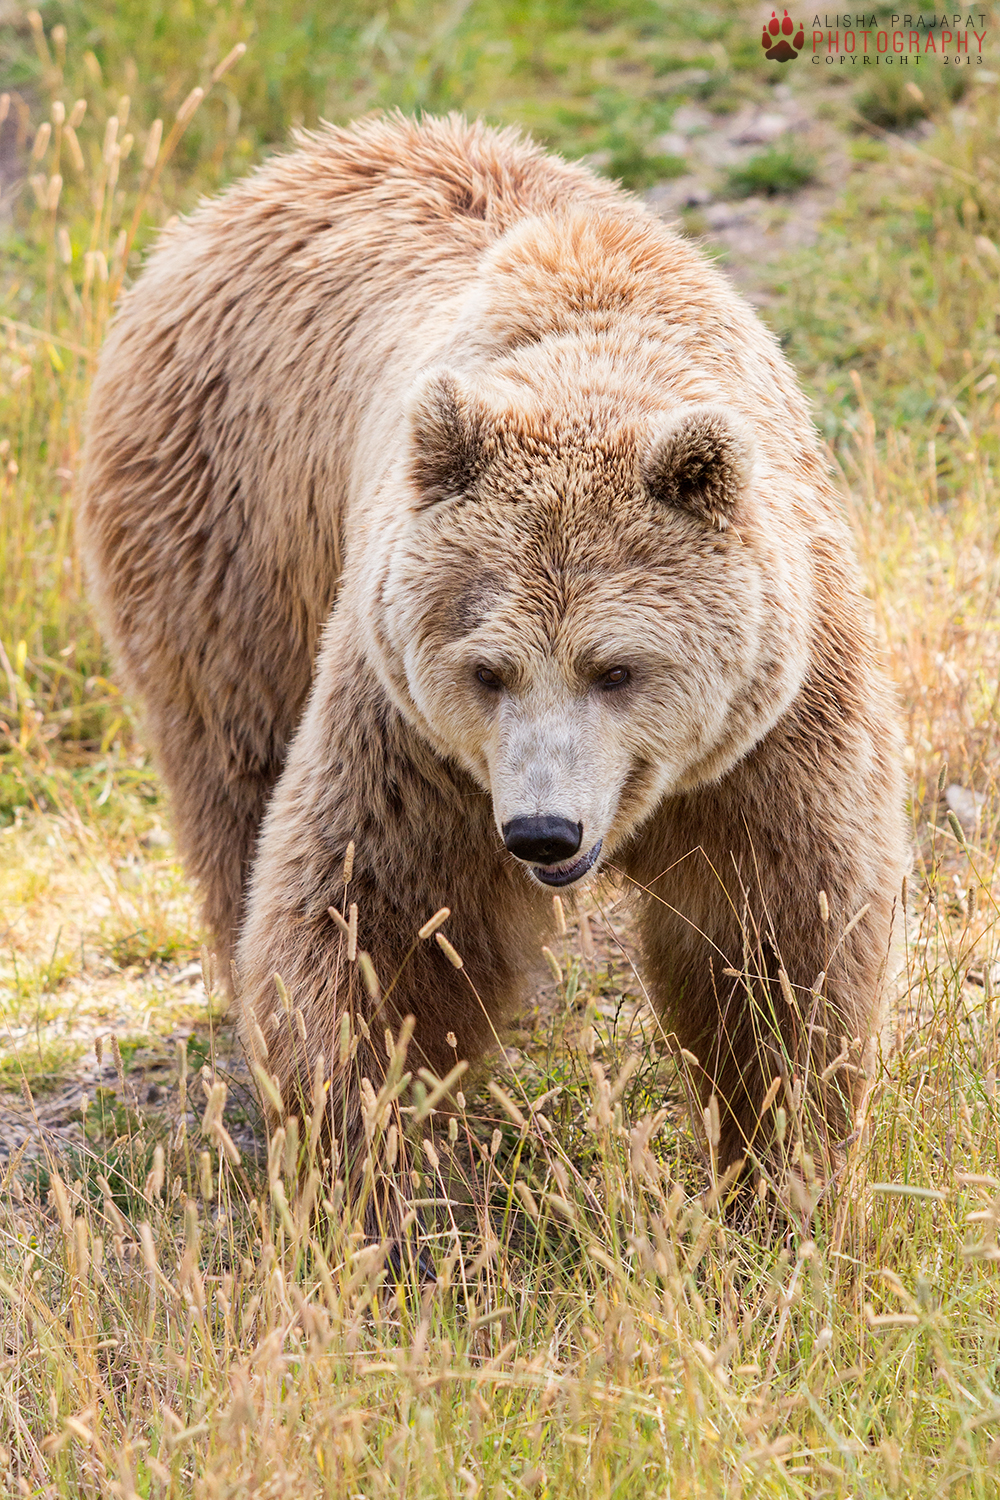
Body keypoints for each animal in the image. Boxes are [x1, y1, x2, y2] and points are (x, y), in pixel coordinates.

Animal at [78, 114, 905, 1218]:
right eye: (488, 669)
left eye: (616, 668)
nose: (544, 832)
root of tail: (264, 178)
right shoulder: (410, 732)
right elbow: (376, 924)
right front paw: (387, 1180)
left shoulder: (770, 730)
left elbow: (778, 942)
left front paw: (778, 1176)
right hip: (229, 538)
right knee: (236, 784)